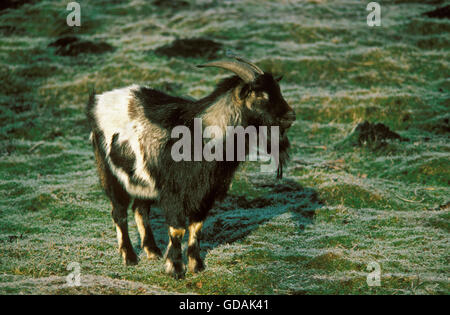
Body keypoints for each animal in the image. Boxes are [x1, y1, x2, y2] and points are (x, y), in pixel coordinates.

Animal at [86, 57, 296, 278]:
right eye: (260, 95)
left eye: (278, 90)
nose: (290, 116)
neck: (205, 134)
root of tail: (96, 101)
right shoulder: (175, 193)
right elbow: (178, 229)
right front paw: (176, 268)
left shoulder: (204, 193)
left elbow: (197, 227)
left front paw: (197, 265)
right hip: (112, 174)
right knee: (119, 212)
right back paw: (130, 257)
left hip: (143, 179)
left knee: (140, 209)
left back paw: (152, 251)